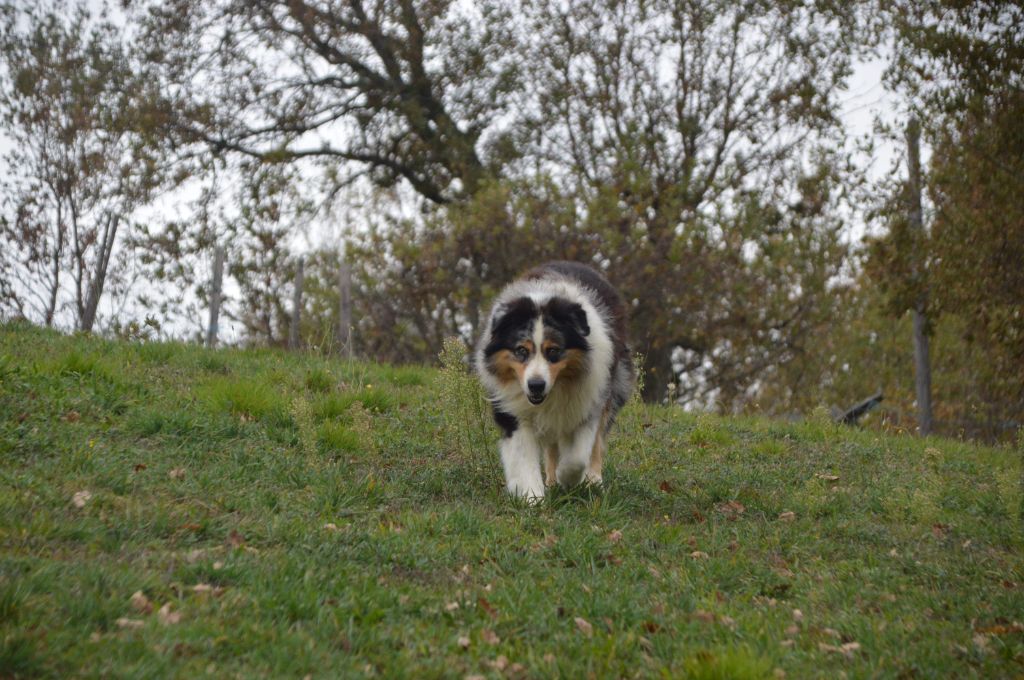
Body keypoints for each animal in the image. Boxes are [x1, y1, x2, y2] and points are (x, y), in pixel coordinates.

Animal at [475, 260, 634, 499]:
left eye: (553, 351)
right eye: (521, 350)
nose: (536, 386)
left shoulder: (587, 400)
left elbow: (577, 456)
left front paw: (567, 479)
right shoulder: (512, 408)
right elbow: (524, 455)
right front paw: (533, 498)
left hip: (614, 382)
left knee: (596, 441)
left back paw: (593, 481)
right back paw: (550, 481)